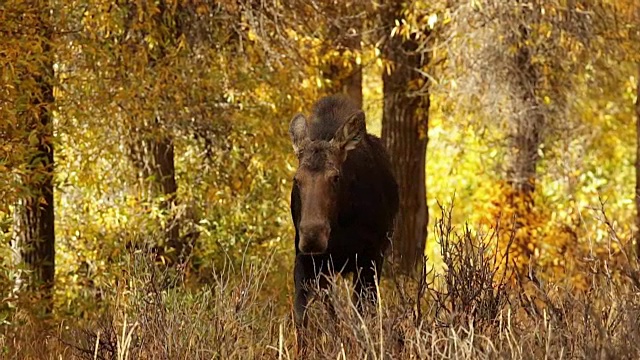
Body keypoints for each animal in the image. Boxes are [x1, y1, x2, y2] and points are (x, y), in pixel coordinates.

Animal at [288, 95, 398, 330]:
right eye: (296, 179)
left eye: (335, 177)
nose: (312, 236)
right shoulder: (306, 260)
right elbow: (303, 318)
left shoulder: (369, 258)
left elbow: (363, 316)